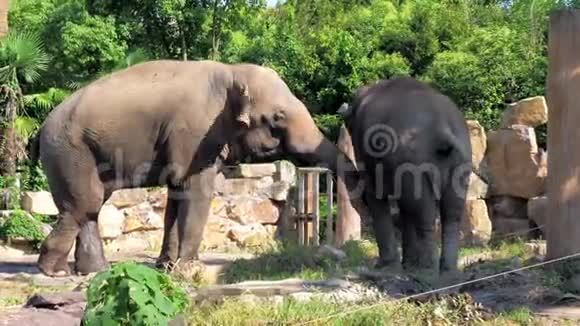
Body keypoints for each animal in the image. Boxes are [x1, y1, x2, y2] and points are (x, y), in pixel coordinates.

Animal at [29, 59, 364, 276]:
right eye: (278, 117)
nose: (344, 108)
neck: (232, 72)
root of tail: (42, 127)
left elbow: (177, 196)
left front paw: (167, 267)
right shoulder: (193, 133)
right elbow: (196, 189)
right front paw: (190, 268)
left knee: (91, 208)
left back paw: (92, 272)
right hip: (69, 151)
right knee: (84, 206)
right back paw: (54, 272)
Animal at [340, 76, 472, 276]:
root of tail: (442, 129)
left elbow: (376, 195)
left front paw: (386, 266)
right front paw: (407, 265)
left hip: (414, 163)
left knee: (424, 211)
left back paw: (426, 272)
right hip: (461, 162)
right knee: (451, 213)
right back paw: (447, 272)